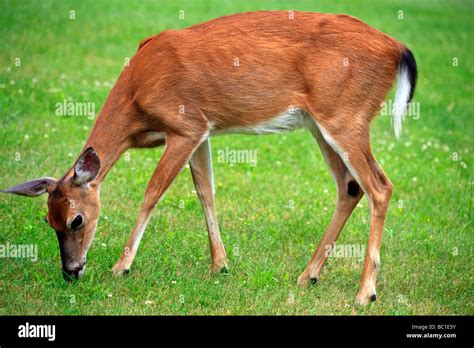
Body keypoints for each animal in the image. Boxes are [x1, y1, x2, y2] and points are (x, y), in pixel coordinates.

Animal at [1, 10, 416, 304]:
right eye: (48, 220)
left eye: (77, 220)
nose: (70, 270)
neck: (136, 95)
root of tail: (399, 49)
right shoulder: (202, 130)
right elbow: (206, 191)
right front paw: (220, 265)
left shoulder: (184, 125)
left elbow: (153, 192)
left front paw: (121, 267)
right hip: (321, 122)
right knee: (350, 187)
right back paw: (307, 275)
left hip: (346, 116)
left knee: (380, 186)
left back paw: (365, 293)